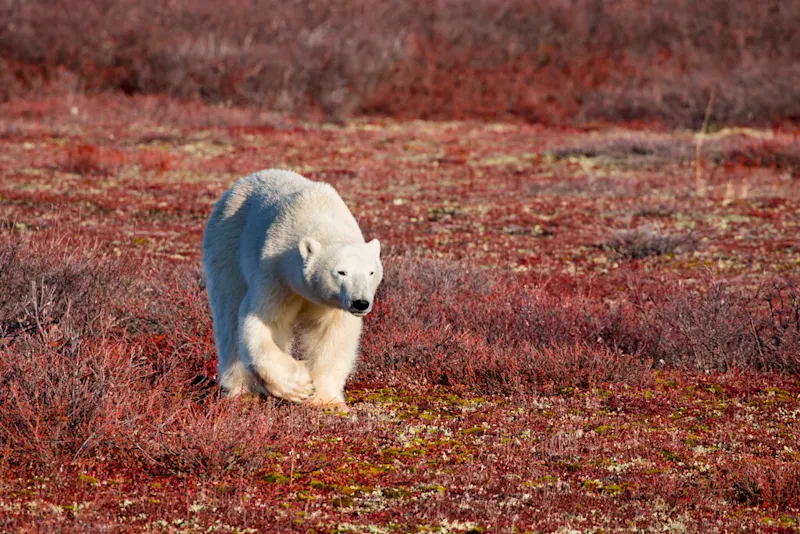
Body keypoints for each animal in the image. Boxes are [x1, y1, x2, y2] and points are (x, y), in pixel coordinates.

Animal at [201, 169, 383, 410]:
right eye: (341, 272)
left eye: (371, 272)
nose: (360, 303)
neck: (318, 215)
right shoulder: (276, 274)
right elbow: (266, 322)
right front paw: (298, 386)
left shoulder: (333, 305)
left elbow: (333, 334)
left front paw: (326, 401)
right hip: (226, 242)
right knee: (228, 313)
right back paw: (241, 391)